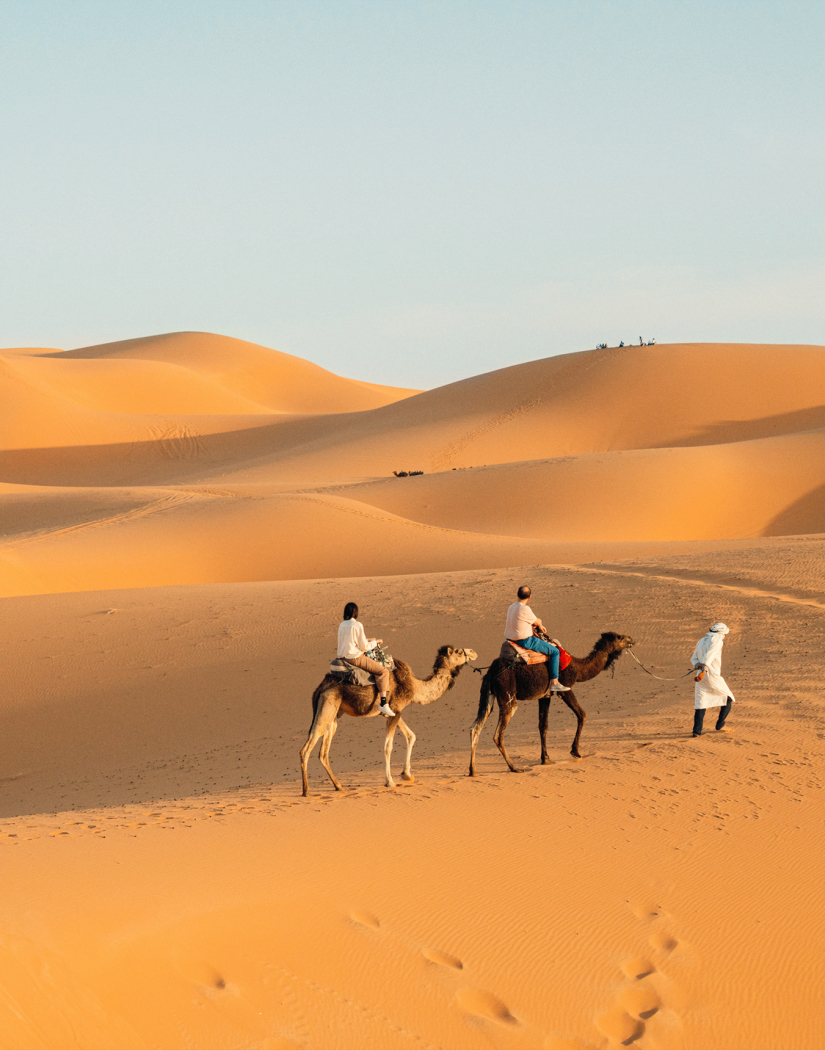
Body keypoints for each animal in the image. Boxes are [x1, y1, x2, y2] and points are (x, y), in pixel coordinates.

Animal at [300, 638, 476, 793]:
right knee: (306, 750)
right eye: (458, 651)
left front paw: (407, 775)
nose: (473, 651)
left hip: (332, 715)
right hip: (327, 708)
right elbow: (388, 746)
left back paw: (339, 786)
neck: (415, 686)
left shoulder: (392, 712)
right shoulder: (396, 710)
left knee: (323, 753)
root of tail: (320, 688)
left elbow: (411, 736)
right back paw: (306, 791)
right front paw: (390, 781)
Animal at [466, 625, 633, 776]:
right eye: (619, 637)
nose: (631, 639)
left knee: (475, 728)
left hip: (488, 696)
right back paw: (514, 768)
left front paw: (546, 758)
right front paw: (575, 752)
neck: (578, 668)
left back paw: (473, 771)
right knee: (498, 734)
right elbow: (582, 714)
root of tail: (491, 673)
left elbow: (543, 726)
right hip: (507, 696)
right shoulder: (564, 689)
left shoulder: (545, 696)